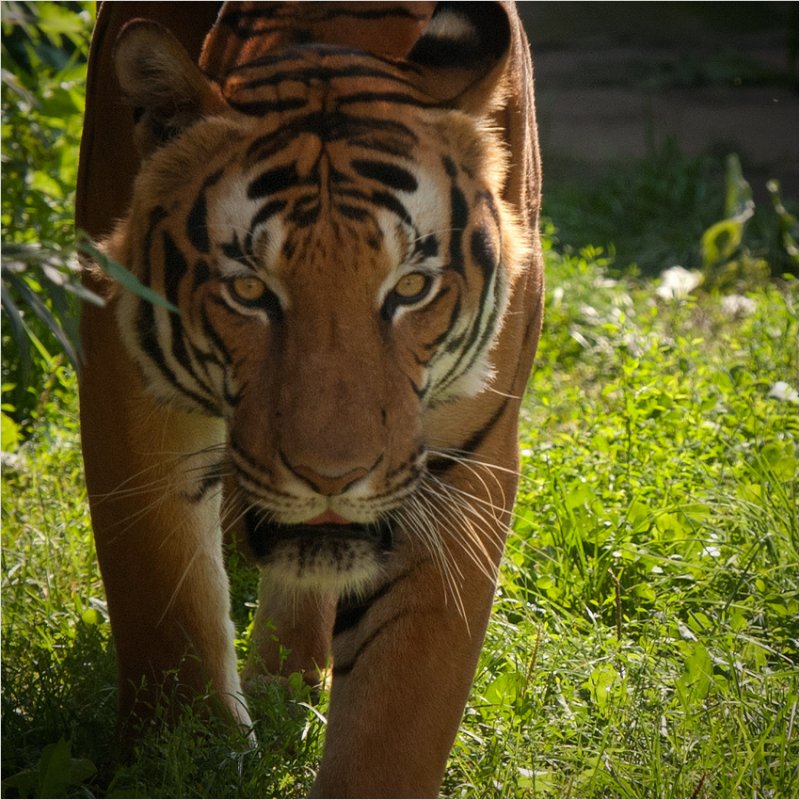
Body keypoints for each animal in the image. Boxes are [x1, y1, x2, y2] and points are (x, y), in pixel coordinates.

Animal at [76, 3, 544, 796]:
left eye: (410, 288)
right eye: (249, 290)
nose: (332, 478)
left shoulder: (462, 463)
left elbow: (399, 713)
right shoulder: (125, 379)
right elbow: (164, 601)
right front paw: (184, 752)